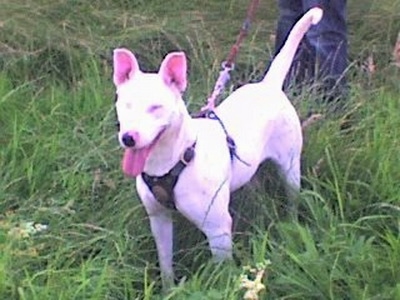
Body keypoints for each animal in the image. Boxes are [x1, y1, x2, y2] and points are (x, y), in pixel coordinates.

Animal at [111, 7, 322, 288]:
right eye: (125, 104)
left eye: (156, 107)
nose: (129, 138)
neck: (176, 159)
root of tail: (268, 86)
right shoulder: (159, 219)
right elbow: (165, 263)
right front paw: (169, 289)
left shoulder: (218, 229)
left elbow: (222, 272)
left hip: (290, 168)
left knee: (292, 197)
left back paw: (291, 221)